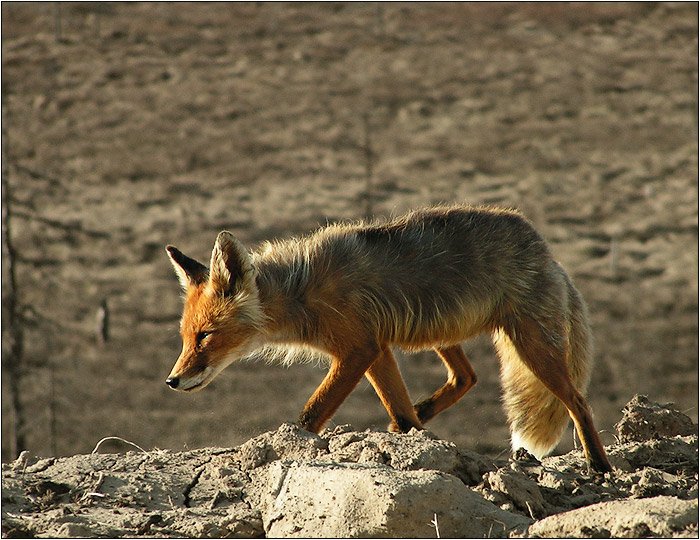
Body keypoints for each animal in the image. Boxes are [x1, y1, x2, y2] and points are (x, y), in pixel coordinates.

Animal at [165, 202, 612, 472]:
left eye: (205, 336)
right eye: (186, 338)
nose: (172, 380)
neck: (300, 292)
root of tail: (546, 251)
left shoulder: (358, 350)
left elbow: (311, 414)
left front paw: (290, 446)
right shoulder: (376, 350)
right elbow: (399, 409)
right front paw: (412, 439)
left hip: (533, 347)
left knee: (578, 401)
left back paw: (599, 466)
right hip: (439, 332)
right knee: (466, 377)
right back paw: (422, 413)